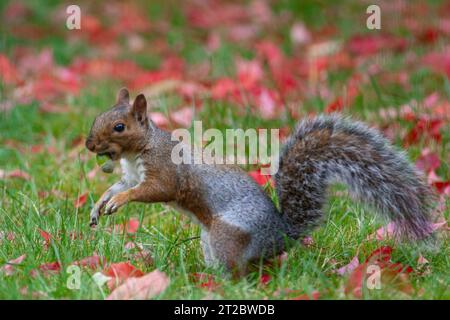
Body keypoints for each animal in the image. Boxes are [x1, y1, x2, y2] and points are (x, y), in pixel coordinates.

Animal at [86, 88, 434, 276]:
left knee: (238, 272)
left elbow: (150, 190)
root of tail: (281, 235)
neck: (138, 150)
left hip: (227, 236)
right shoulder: (131, 174)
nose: (89, 145)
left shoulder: (164, 172)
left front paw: (118, 202)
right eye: (98, 117)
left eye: (119, 126)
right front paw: (100, 204)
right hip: (211, 240)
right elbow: (119, 186)